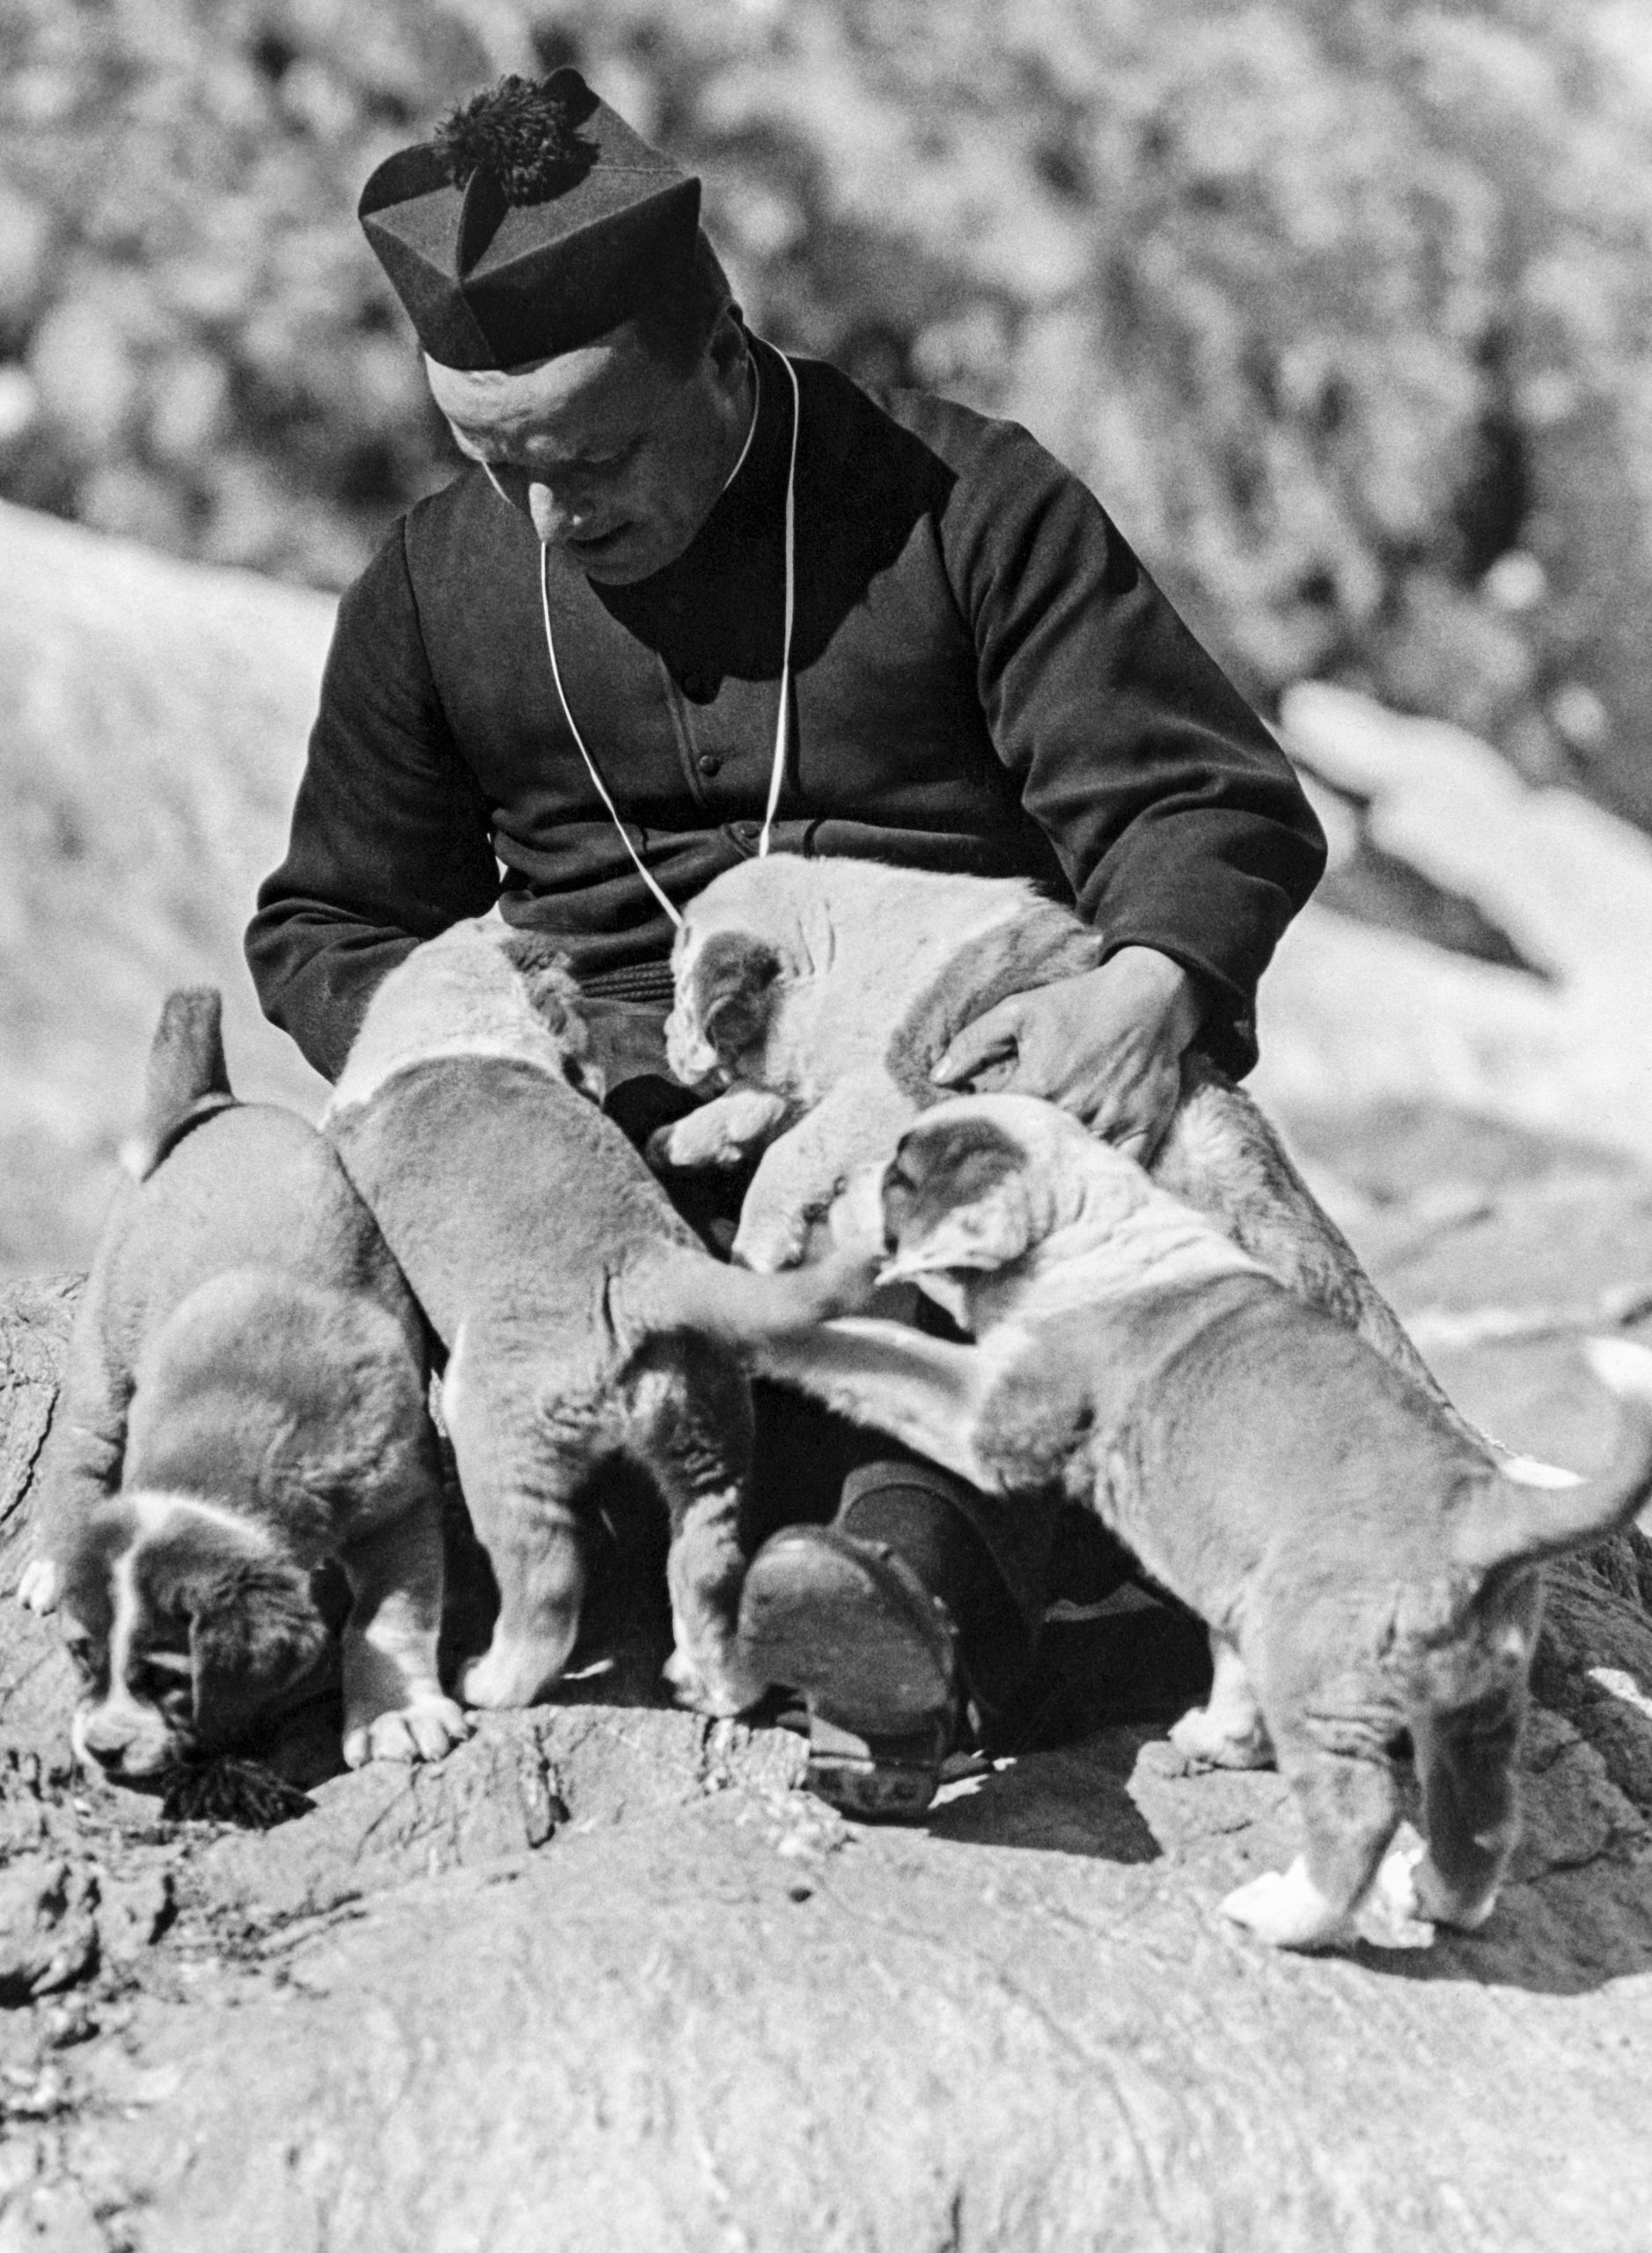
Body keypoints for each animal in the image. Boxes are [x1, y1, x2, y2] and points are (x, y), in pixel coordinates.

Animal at [20, 995, 464, 1784]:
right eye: (80, 1657)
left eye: (164, 1679)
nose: (101, 1751)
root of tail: (215, 1104)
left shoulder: (401, 1505)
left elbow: (387, 1618)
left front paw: (393, 1713)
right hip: (104, 1353)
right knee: (80, 1453)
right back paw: (52, 1555)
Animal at [757, 1099, 1649, 1946]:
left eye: (899, 1178)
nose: (827, 1194)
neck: (1093, 1223)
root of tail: (1484, 1513)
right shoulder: (1227, 1579)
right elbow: (1228, 1671)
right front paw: (1218, 1740)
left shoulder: (987, 1412)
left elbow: (878, 1350)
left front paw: (762, 1324)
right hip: (1474, 1709)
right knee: (1483, 1825)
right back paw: (1430, 1897)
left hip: (1322, 1680)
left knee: (1358, 1811)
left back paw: (1285, 1917)